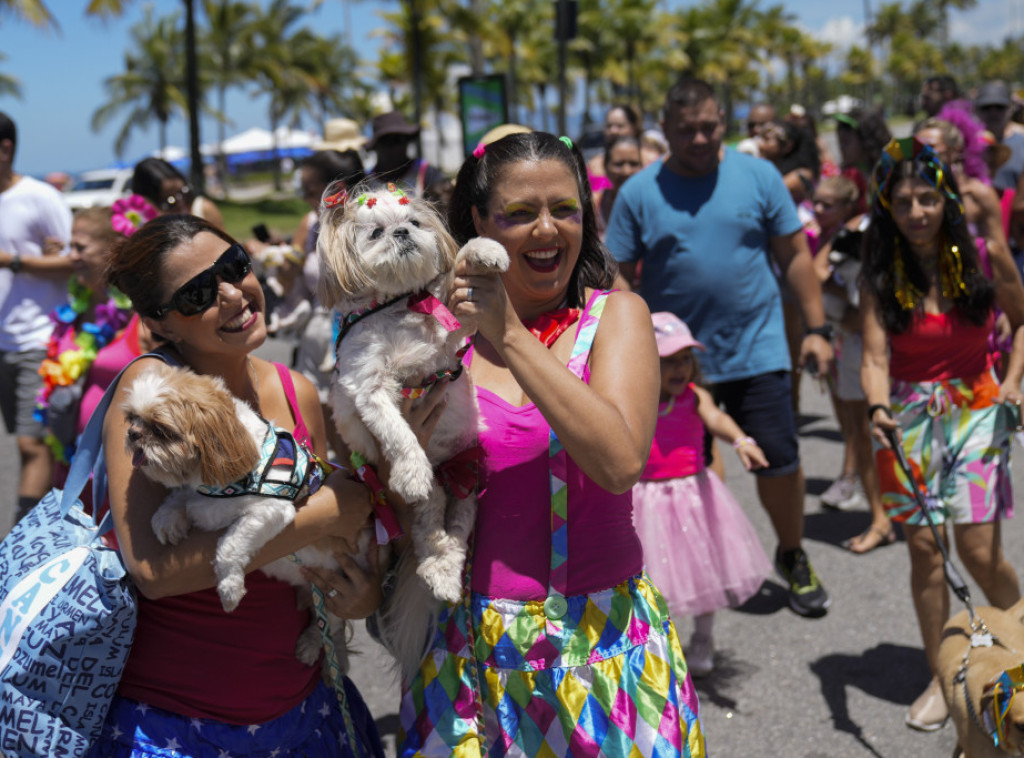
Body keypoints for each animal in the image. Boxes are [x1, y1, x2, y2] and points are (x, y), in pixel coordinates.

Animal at [121, 364, 348, 667]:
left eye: (161, 429)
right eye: (132, 418)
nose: (133, 433)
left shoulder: (272, 509)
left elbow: (229, 545)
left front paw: (229, 588)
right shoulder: (199, 495)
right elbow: (181, 497)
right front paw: (168, 518)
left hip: (335, 593)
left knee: (330, 625)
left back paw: (312, 644)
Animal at [311, 182, 503, 676]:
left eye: (414, 221)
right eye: (376, 231)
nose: (401, 232)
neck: (397, 308)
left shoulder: (449, 342)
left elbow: (459, 281)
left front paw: (487, 250)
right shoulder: (370, 386)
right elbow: (398, 433)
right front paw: (412, 469)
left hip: (466, 485)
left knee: (454, 536)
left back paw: (445, 574)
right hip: (428, 499)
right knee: (430, 528)